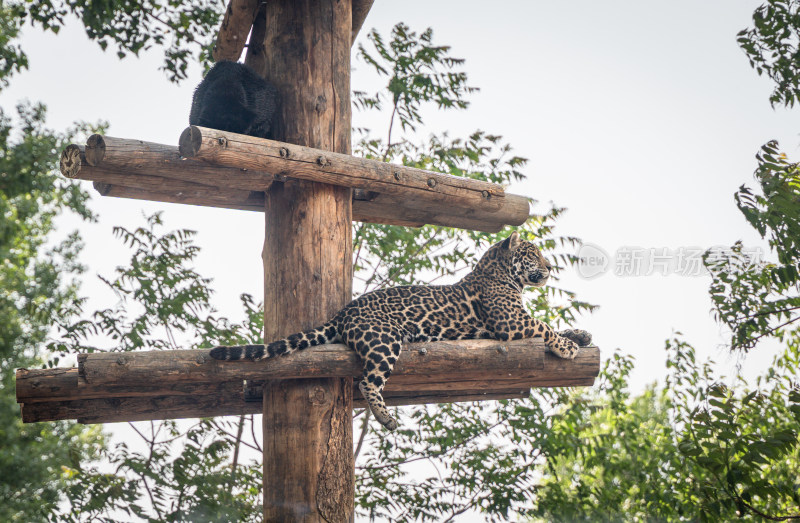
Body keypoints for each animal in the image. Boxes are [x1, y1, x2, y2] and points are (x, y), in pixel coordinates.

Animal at [209, 233, 592, 430]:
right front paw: (567, 346)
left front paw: (581, 335)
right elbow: (544, 325)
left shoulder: (517, 318)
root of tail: (343, 312)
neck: (501, 273)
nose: (550, 268)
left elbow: (553, 322)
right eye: (532, 253)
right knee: (367, 383)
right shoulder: (511, 321)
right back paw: (386, 418)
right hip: (385, 341)